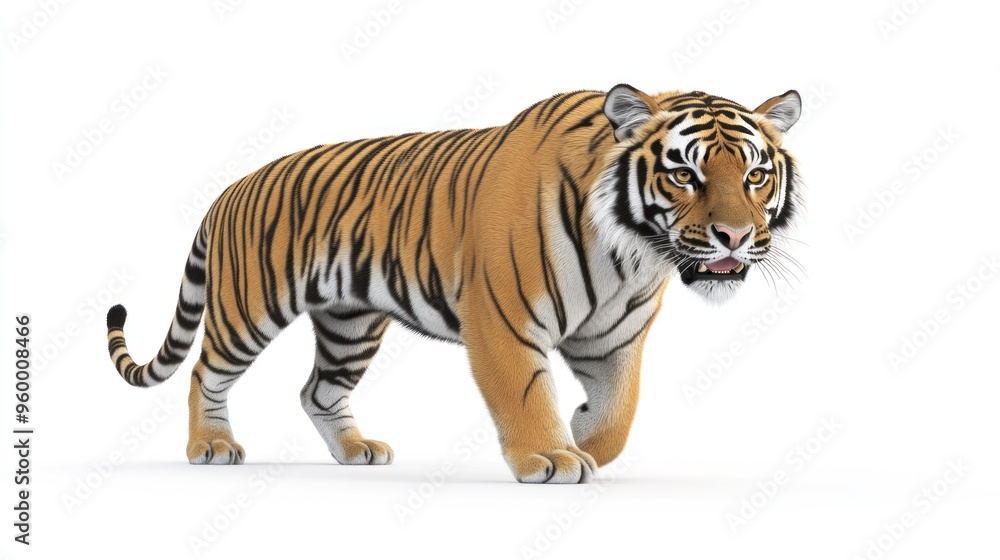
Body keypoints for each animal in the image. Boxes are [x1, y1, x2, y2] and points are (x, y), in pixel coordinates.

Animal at [105, 84, 802, 483]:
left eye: (755, 176)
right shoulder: (503, 320)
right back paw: (212, 447)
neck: (630, 253)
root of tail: (229, 188)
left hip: (350, 323)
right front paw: (550, 458)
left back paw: (357, 452)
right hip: (248, 308)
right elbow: (525, 394)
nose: (734, 237)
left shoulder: (616, 339)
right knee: (205, 372)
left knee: (317, 391)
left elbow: (618, 414)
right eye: (684, 175)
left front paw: (583, 437)